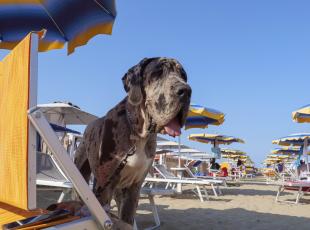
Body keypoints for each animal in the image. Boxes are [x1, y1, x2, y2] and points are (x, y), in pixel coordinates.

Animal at [75, 57, 191, 225]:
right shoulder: (105, 187)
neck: (139, 135)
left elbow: (127, 221)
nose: (186, 91)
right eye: (156, 73)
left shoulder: (134, 188)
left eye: (183, 76)